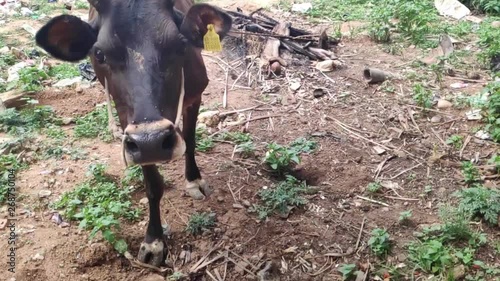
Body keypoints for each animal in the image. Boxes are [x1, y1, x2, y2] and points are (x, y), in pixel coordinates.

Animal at [34, 0, 233, 264]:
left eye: (180, 45)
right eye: (100, 53)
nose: (154, 140)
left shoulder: (195, 95)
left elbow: (190, 141)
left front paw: (194, 180)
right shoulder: (130, 128)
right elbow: (152, 185)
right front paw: (154, 242)